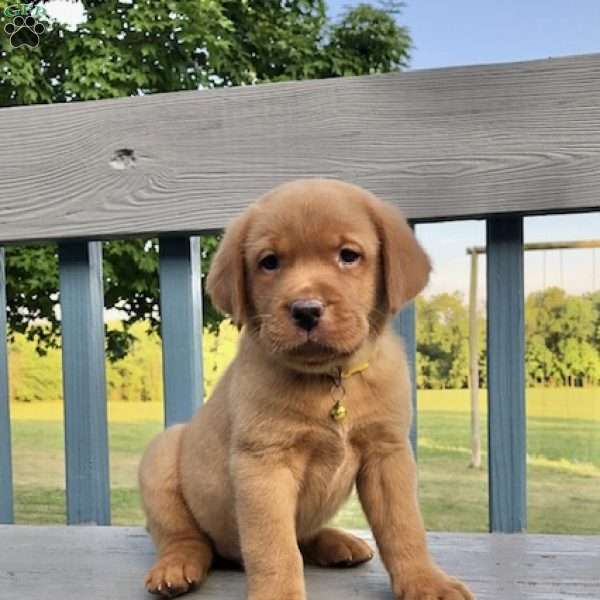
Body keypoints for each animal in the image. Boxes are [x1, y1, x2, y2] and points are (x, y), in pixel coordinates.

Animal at [139, 179, 474, 600]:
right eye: (269, 262)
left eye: (348, 256)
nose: (306, 310)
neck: (332, 379)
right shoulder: (264, 463)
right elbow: (274, 548)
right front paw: (279, 595)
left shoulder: (388, 454)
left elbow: (405, 527)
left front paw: (425, 580)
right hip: (162, 454)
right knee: (186, 537)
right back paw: (177, 566)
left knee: (304, 535)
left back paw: (335, 542)